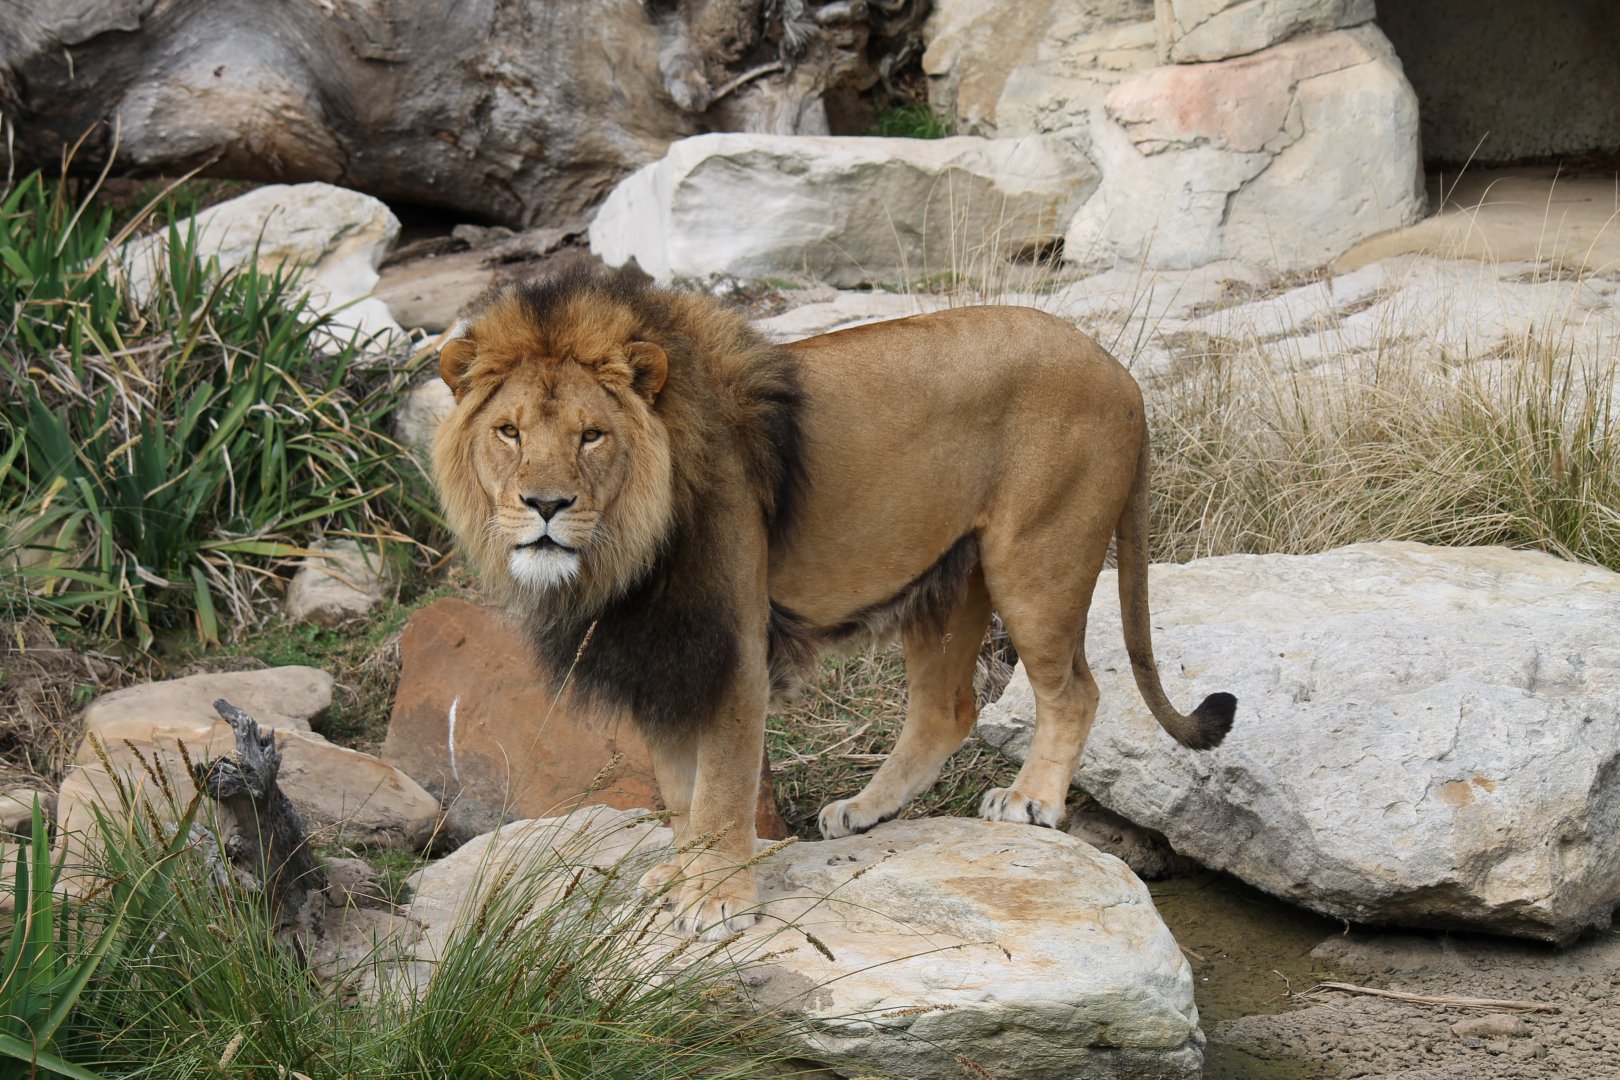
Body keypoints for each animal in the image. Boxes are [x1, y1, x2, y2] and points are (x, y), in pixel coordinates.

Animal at [432, 266, 1235, 941]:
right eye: (509, 432)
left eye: (591, 436)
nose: (545, 505)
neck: (628, 546)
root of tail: (1118, 370)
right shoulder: (663, 653)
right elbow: (678, 788)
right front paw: (681, 874)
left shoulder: (730, 647)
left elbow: (720, 787)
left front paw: (717, 899)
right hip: (948, 577)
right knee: (946, 710)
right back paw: (864, 810)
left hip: (1037, 560)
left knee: (1074, 689)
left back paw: (1028, 801)